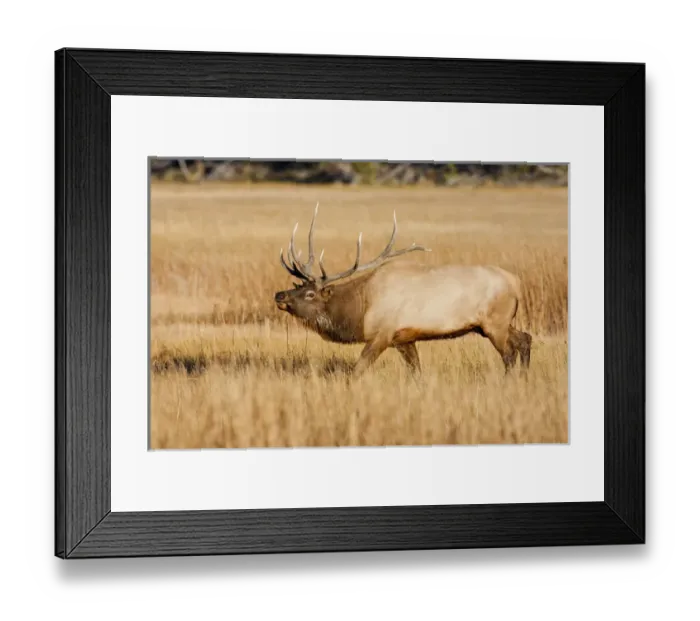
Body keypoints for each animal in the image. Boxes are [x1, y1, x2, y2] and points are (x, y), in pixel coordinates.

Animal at [274, 203, 532, 377]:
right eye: (297, 286)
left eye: (310, 294)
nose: (279, 295)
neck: (360, 310)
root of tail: (516, 283)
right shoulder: (404, 338)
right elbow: (416, 371)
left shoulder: (382, 333)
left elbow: (357, 370)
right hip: (493, 324)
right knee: (525, 339)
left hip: (495, 322)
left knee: (509, 354)